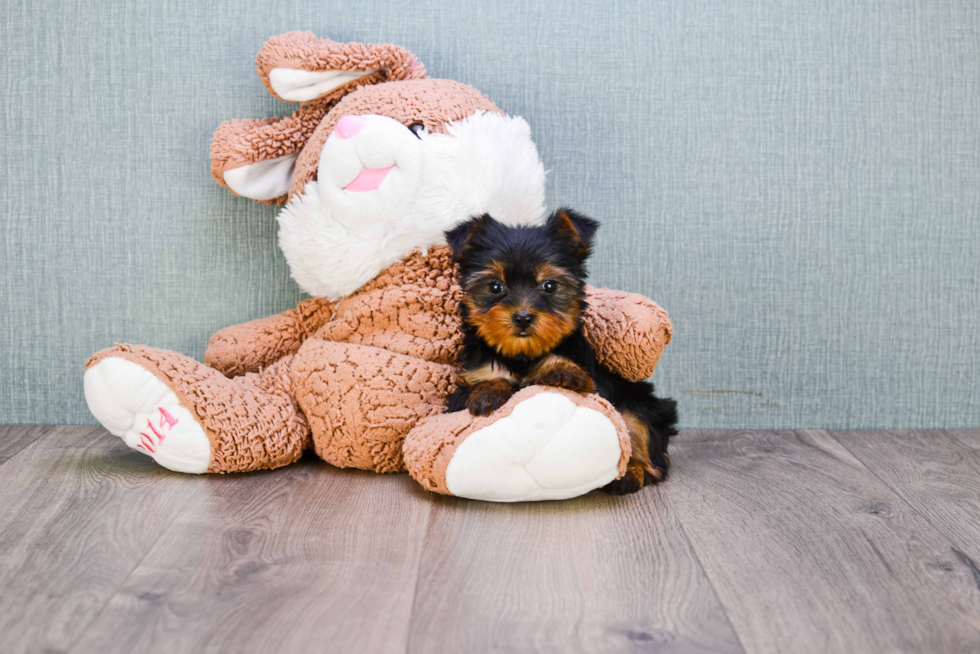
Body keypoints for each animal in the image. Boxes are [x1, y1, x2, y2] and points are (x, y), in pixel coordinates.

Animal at [448, 211, 676, 498]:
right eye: (495, 287)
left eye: (549, 286)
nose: (523, 317)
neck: (521, 353)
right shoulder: (458, 394)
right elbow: (483, 381)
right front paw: (489, 390)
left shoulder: (595, 381)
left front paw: (562, 371)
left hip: (640, 402)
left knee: (640, 431)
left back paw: (629, 473)